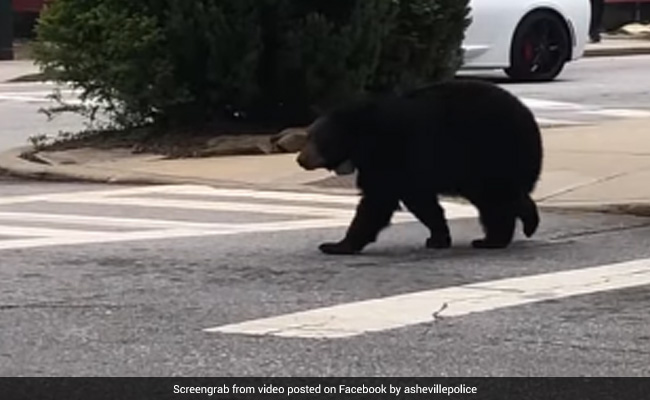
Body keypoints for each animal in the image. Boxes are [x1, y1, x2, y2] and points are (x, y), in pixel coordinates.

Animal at [296, 79, 543, 255]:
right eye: (307, 136)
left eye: (314, 138)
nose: (300, 159)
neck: (362, 138)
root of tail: (530, 120)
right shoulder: (404, 169)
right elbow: (421, 202)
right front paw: (438, 238)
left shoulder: (389, 155)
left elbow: (378, 201)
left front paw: (336, 245)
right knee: (500, 197)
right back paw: (521, 224)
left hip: (492, 152)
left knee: (496, 200)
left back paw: (493, 240)